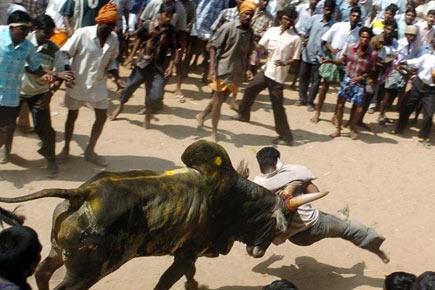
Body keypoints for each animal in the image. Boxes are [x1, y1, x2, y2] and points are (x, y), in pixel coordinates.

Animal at [0, 140, 328, 288]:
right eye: (278, 226)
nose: (258, 252)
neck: (235, 200)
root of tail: (83, 193)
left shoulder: (187, 253)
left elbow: (189, 275)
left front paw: (195, 286)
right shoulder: (186, 253)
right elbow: (167, 281)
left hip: (59, 252)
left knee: (43, 272)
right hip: (89, 271)